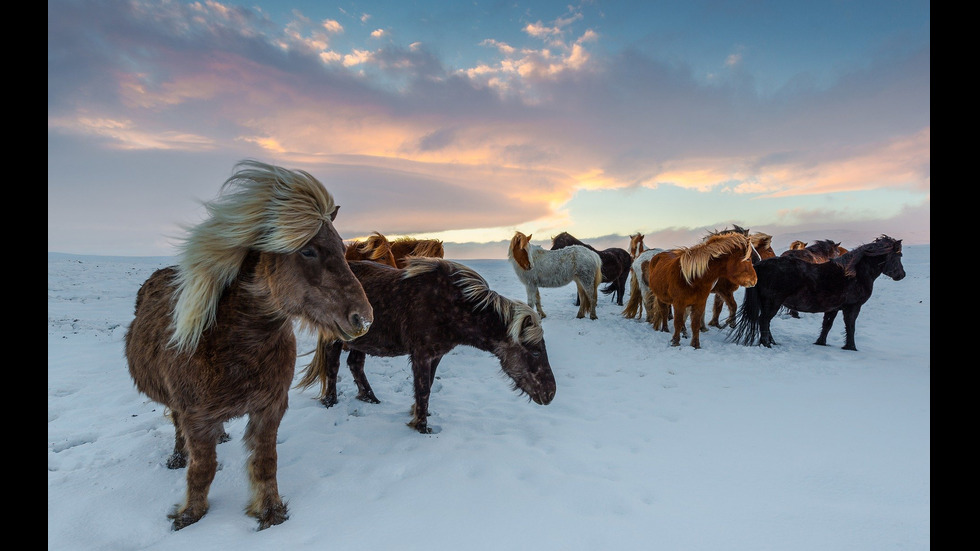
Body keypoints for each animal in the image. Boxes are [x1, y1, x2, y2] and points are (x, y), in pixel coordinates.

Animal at [118, 160, 372, 532]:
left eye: (342, 249)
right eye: (308, 250)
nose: (363, 319)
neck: (235, 346)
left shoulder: (269, 408)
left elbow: (266, 462)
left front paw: (270, 513)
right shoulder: (196, 417)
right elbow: (203, 468)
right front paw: (189, 515)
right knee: (177, 427)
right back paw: (178, 457)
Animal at [296, 258, 560, 436]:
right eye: (535, 350)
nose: (550, 394)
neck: (451, 305)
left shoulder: (436, 356)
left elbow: (429, 386)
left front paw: (418, 414)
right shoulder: (421, 355)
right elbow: (423, 388)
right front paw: (421, 427)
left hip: (360, 340)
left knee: (355, 364)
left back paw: (370, 399)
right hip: (334, 340)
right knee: (332, 367)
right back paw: (330, 402)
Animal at [732, 235, 908, 352]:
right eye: (899, 255)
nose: (902, 275)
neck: (854, 274)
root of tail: (759, 265)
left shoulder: (833, 308)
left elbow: (827, 326)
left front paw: (821, 342)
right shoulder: (853, 307)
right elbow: (850, 326)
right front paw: (851, 347)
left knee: (766, 323)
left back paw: (772, 342)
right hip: (772, 304)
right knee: (764, 321)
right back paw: (767, 344)